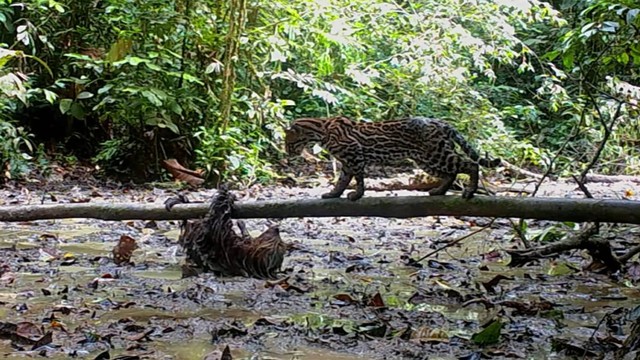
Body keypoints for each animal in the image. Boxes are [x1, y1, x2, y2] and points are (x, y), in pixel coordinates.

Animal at [284, 115, 500, 200]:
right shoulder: (347, 161)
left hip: (435, 154)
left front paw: (357, 194)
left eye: (288, 143)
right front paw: (334, 194)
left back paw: (470, 190)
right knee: (451, 173)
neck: (321, 130)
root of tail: (441, 123)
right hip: (426, 159)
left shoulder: (354, 154)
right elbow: (343, 179)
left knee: (470, 164)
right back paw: (439, 191)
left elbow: (358, 178)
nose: (287, 153)